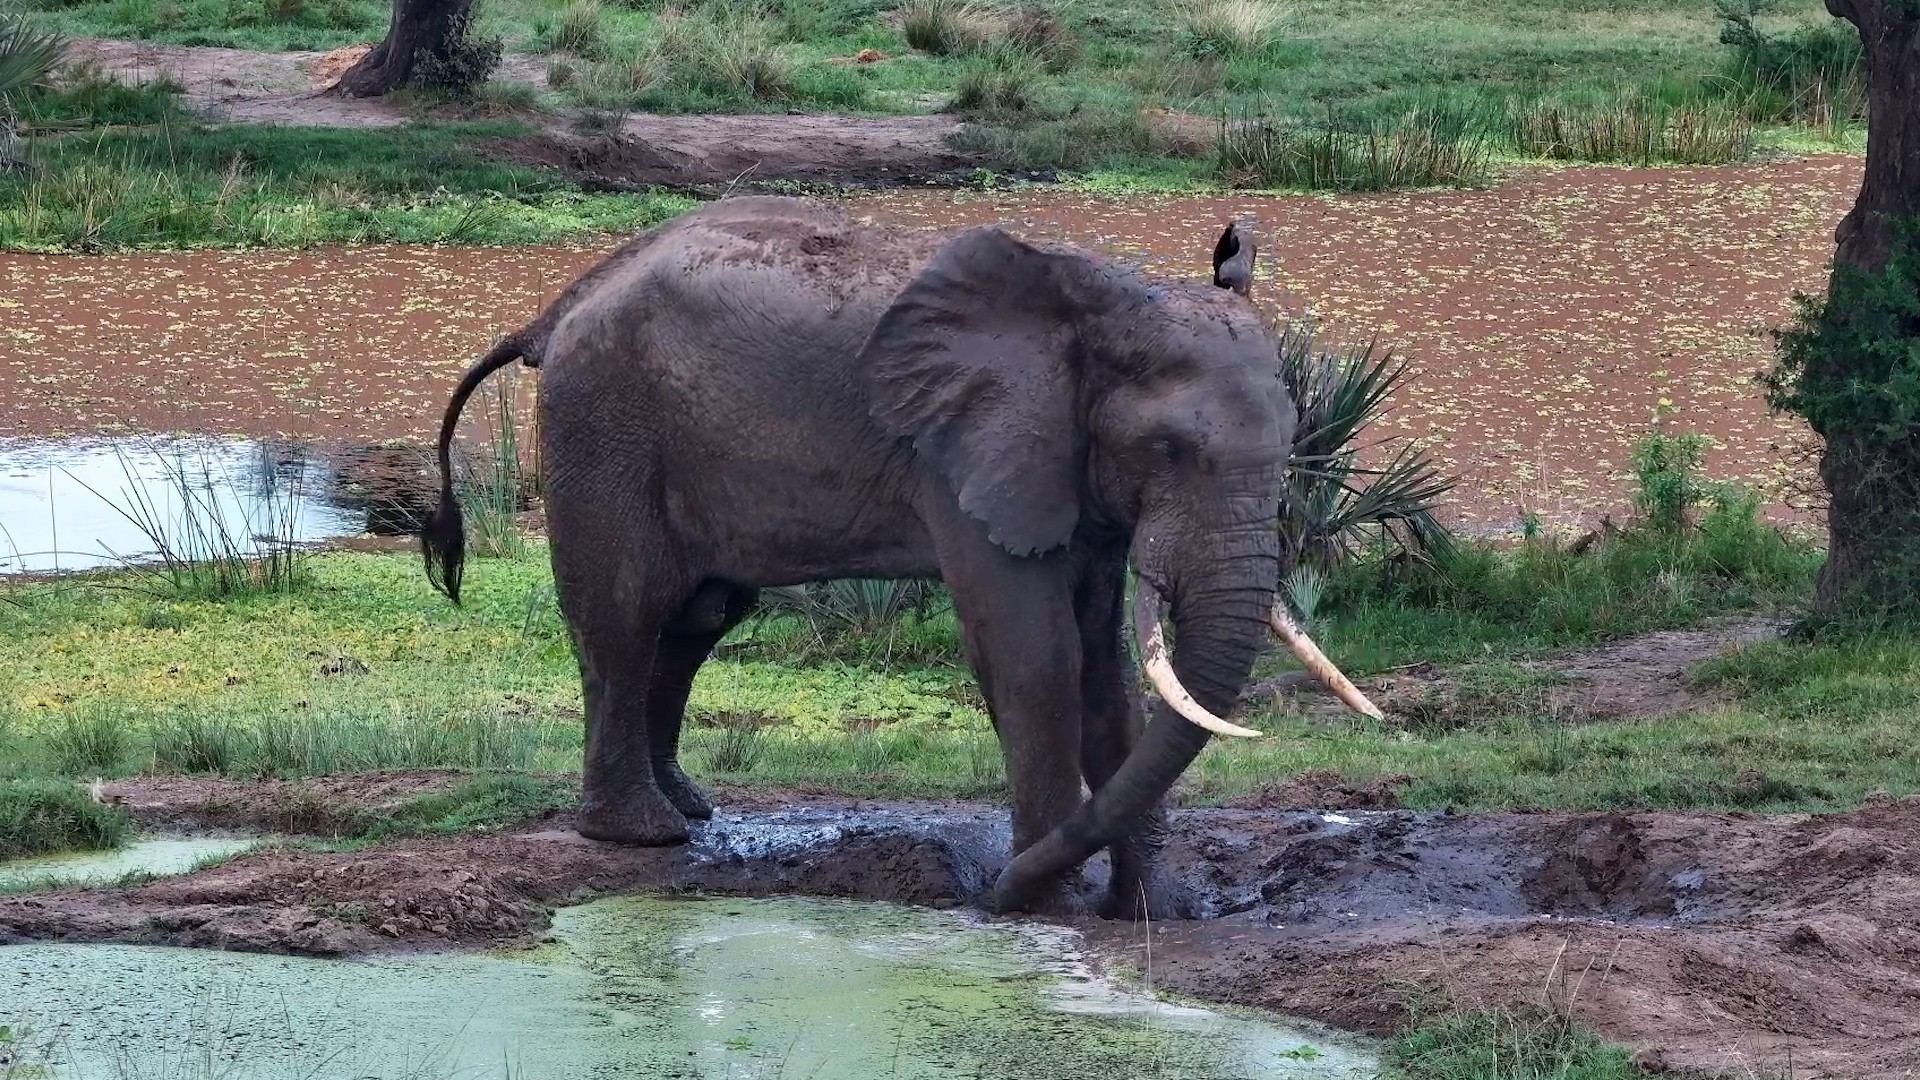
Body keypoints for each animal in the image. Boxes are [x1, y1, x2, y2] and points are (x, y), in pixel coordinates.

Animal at [420, 196, 1380, 918]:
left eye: (1295, 443)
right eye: (1170, 451)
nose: (993, 893)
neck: (1093, 307)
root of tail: (556, 309)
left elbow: (1107, 673)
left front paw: (1145, 911)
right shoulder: (962, 456)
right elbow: (1035, 655)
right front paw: (1046, 903)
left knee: (697, 620)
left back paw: (687, 809)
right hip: (603, 420)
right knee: (626, 615)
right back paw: (642, 834)